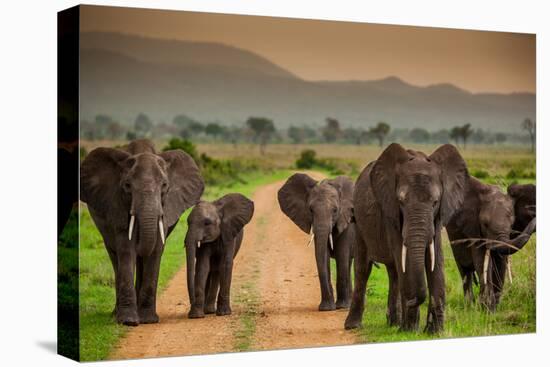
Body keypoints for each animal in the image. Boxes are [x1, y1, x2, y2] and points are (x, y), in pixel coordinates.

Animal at [80, 139, 205, 324]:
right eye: (127, 186)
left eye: (164, 186)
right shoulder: (117, 205)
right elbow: (126, 248)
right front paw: (128, 321)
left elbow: (156, 250)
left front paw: (148, 320)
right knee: (115, 257)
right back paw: (115, 314)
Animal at [278, 174, 356, 312]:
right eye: (310, 210)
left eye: (335, 210)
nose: (328, 308)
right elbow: (323, 255)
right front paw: (327, 308)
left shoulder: (346, 220)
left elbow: (342, 255)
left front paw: (341, 307)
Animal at [344, 144, 470, 334]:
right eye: (401, 202)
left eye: (435, 202)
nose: (411, 299)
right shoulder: (392, 214)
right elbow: (406, 262)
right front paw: (410, 330)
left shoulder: (437, 218)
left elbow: (436, 261)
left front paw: (435, 332)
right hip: (359, 222)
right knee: (364, 268)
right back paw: (353, 326)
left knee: (393, 272)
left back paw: (394, 323)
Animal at [448, 180, 540, 312]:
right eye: (485, 225)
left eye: (512, 224)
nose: (535, 216)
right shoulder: (473, 229)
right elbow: (482, 261)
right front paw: (486, 309)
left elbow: (500, 263)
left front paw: (492, 309)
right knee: (465, 271)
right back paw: (468, 306)